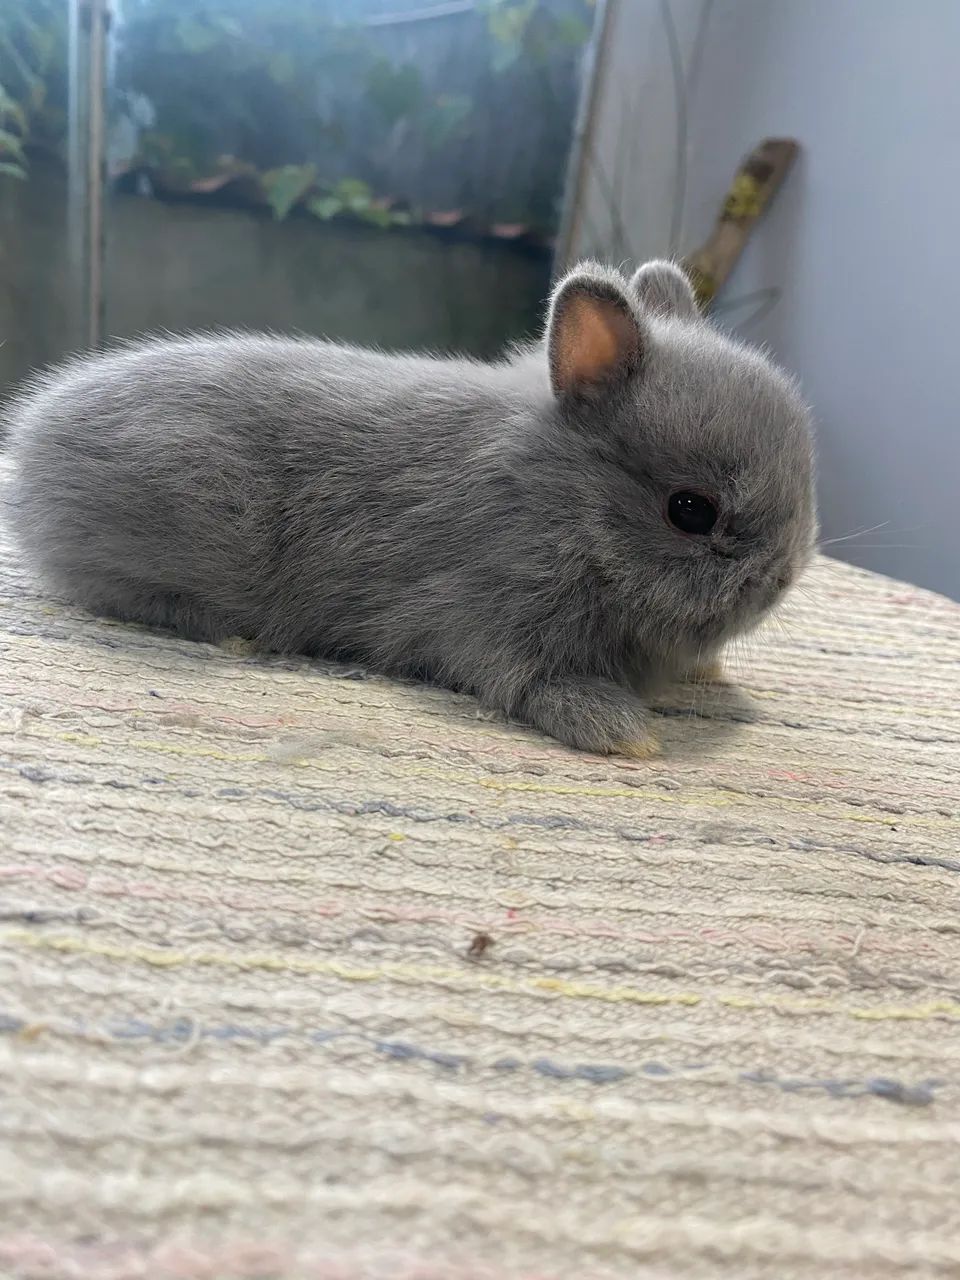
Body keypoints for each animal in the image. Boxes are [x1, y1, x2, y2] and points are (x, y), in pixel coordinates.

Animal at [3, 259, 816, 756]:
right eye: (690, 511)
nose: (779, 580)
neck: (562, 501)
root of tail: (36, 435)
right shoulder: (491, 619)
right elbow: (533, 683)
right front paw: (625, 734)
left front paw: (704, 677)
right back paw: (232, 639)